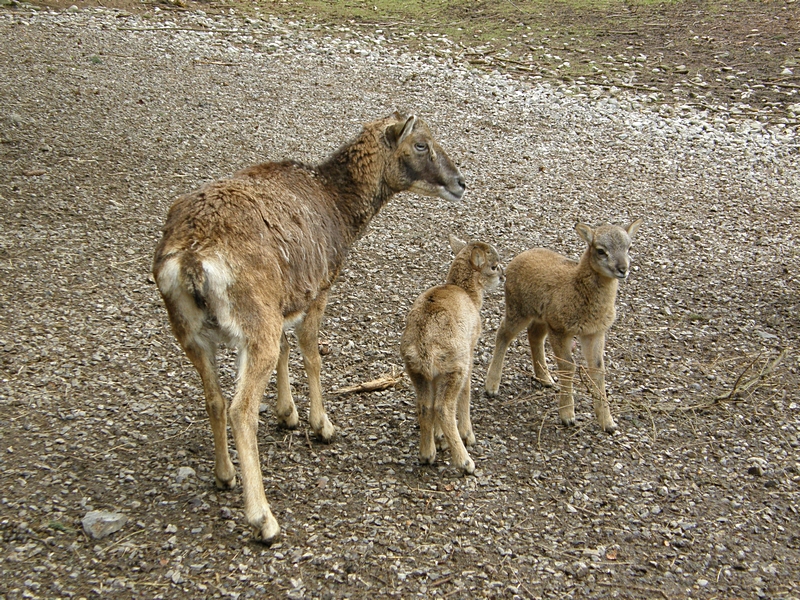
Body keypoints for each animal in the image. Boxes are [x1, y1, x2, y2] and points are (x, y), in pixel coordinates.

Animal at [151, 112, 466, 544]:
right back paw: (263, 519)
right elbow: (311, 353)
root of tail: (190, 262)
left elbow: (287, 349)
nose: (460, 182)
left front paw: (288, 414)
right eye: (421, 144)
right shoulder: (319, 289)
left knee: (215, 399)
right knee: (240, 408)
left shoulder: (286, 299)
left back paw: (225, 475)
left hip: (191, 333)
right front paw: (322, 425)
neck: (336, 205)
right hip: (253, 323)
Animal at [404, 234, 504, 474]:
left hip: (418, 373)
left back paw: (427, 454)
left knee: (425, 405)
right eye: (493, 266)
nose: (503, 276)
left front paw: (440, 439)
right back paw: (466, 462)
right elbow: (466, 392)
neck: (466, 293)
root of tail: (424, 346)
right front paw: (468, 435)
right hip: (453, 368)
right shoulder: (469, 352)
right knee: (443, 407)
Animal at [482, 219, 644, 432]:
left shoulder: (594, 332)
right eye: (601, 251)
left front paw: (608, 422)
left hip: (542, 317)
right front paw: (567, 415)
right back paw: (492, 386)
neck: (576, 287)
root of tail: (521, 256)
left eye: (629, 247)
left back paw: (545, 378)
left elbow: (598, 368)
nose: (622, 269)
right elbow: (569, 366)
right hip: (519, 309)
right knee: (503, 334)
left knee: (534, 335)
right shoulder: (560, 330)